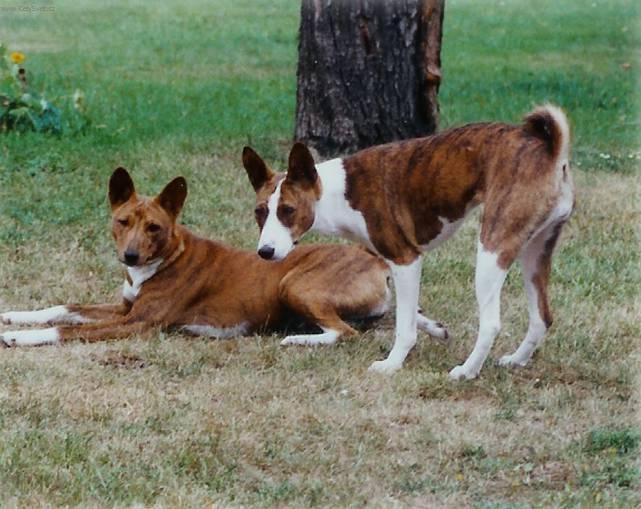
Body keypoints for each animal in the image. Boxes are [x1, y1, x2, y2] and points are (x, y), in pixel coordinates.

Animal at [0, 167, 390, 346]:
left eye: (154, 227)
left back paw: (298, 340)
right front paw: (13, 316)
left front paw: (20, 336)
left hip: (294, 285)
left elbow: (65, 328)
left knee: (344, 332)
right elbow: (63, 308)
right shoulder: (125, 309)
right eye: (122, 222)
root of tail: (375, 260)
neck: (164, 259)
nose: (129, 256)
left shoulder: (137, 322)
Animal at [240, 105, 576, 380]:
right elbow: (405, 309)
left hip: (491, 252)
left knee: (492, 323)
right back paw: (516, 360)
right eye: (260, 212)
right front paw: (434, 328)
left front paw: (392, 364)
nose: (265, 252)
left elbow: (405, 326)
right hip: (534, 254)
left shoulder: (405, 260)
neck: (335, 193)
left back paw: (466, 371)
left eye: (288, 210)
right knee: (542, 318)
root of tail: (550, 151)